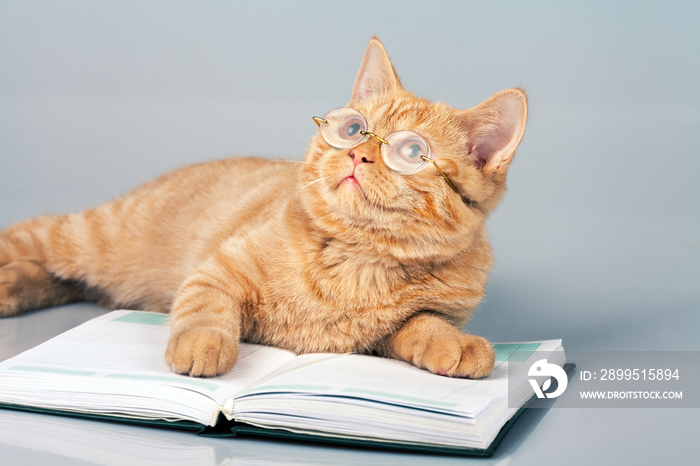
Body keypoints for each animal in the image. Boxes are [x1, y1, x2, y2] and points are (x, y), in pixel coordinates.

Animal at [0, 36, 524, 378]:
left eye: (412, 152)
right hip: (94, 238)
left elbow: (424, 325)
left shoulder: (391, 332)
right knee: (33, 237)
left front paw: (457, 346)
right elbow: (206, 307)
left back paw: (12, 288)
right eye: (354, 129)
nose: (358, 153)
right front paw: (202, 344)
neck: (358, 263)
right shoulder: (218, 269)